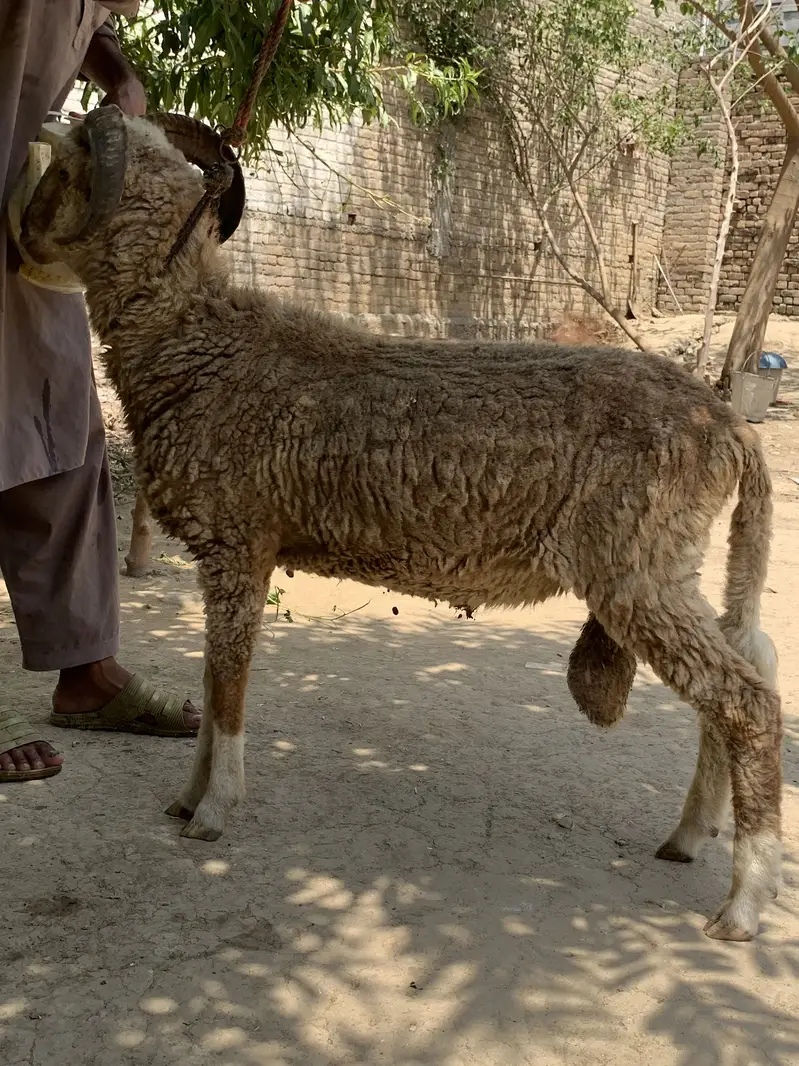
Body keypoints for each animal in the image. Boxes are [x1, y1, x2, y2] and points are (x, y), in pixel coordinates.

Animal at [20, 108, 782, 942]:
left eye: (64, 174)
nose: (18, 240)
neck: (203, 344)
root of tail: (729, 430)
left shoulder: (239, 544)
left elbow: (228, 684)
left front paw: (213, 811)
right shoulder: (233, 554)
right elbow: (214, 676)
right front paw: (187, 798)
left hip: (636, 568)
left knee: (746, 697)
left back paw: (743, 902)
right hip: (668, 563)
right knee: (752, 660)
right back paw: (690, 835)